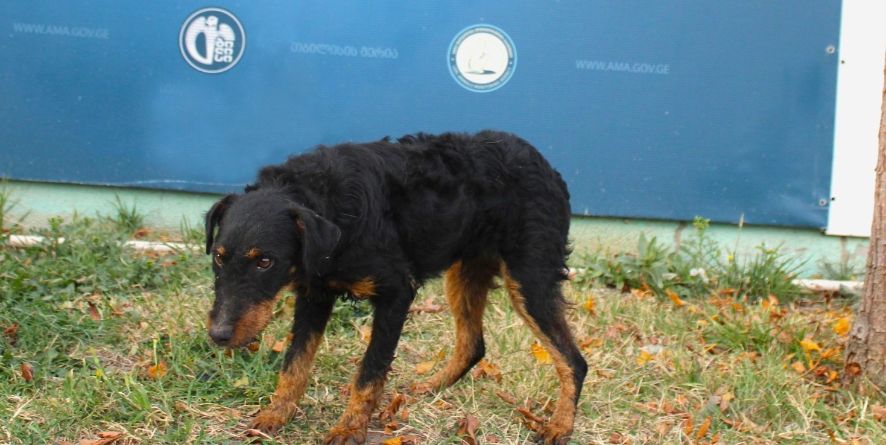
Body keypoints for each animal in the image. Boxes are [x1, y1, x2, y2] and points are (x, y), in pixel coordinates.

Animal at [203, 130, 588, 442]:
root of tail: (545, 164)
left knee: (574, 360)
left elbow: (370, 371)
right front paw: (275, 415)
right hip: (465, 273)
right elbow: (294, 364)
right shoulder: (315, 296)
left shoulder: (397, 293)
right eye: (219, 257)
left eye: (265, 261)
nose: (218, 335)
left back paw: (559, 427)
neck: (333, 209)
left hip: (529, 279)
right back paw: (429, 387)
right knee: (473, 344)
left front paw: (349, 429)